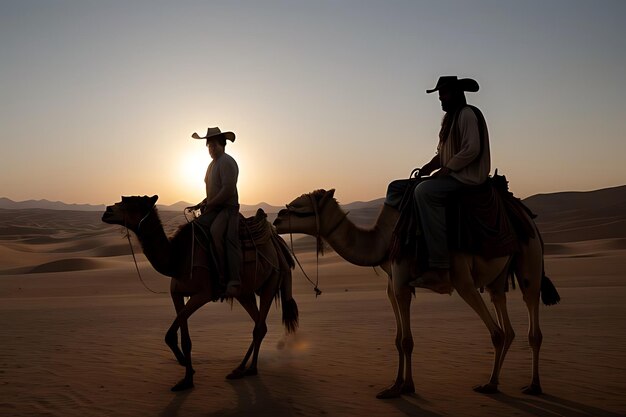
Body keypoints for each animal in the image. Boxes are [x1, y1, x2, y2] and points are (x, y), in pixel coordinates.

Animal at [102, 194, 298, 390]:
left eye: (133, 204)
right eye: (124, 199)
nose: (107, 211)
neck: (177, 259)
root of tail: (278, 244)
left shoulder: (203, 294)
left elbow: (182, 335)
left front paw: (188, 378)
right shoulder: (177, 294)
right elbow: (176, 337)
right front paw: (186, 372)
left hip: (271, 281)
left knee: (259, 326)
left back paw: (250, 369)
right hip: (244, 292)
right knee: (260, 325)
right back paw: (239, 369)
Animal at [272, 188, 556, 396]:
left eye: (300, 206)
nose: (276, 219)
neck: (383, 242)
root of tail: (527, 217)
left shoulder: (402, 284)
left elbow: (407, 340)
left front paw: (406, 387)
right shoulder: (394, 285)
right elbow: (398, 340)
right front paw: (396, 385)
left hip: (500, 268)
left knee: (513, 326)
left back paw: (529, 385)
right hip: (497, 277)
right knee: (506, 324)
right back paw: (495, 382)